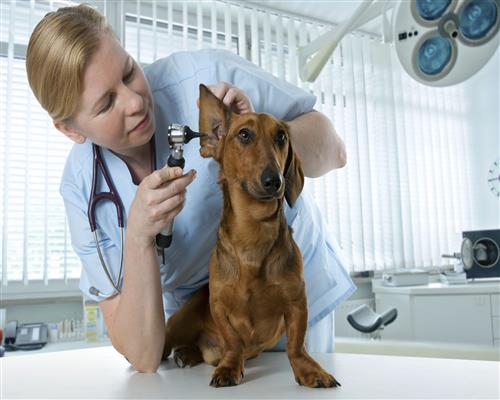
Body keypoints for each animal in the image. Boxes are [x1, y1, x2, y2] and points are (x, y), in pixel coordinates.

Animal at [163, 84, 340, 388]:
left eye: (281, 136)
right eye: (244, 134)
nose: (274, 181)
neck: (253, 232)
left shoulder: (296, 301)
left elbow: (296, 344)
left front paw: (310, 370)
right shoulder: (218, 304)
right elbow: (233, 341)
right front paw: (229, 367)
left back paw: (189, 354)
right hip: (178, 320)